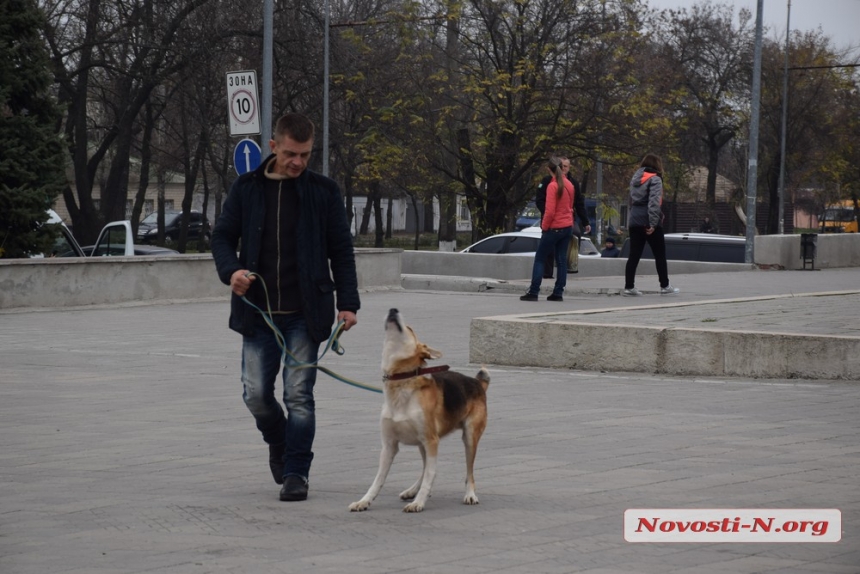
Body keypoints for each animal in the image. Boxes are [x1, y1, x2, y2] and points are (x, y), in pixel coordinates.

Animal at [346, 308, 488, 516]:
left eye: (409, 328)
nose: (393, 309)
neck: (401, 383)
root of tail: (478, 383)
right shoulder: (389, 445)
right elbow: (378, 480)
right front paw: (364, 501)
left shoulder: (431, 440)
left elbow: (431, 474)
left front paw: (419, 502)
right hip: (423, 444)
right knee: (426, 468)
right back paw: (412, 490)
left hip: (469, 437)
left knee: (467, 472)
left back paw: (469, 494)